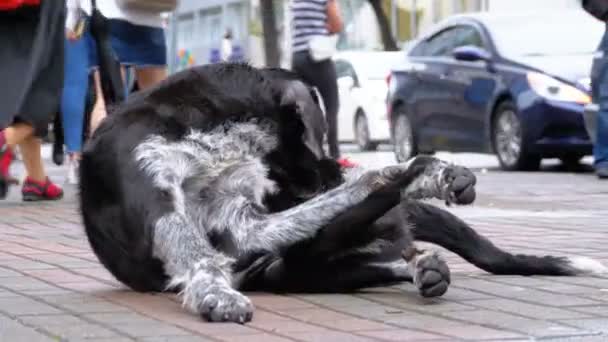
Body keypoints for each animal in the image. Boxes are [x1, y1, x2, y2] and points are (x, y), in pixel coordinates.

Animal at [78, 62, 604, 324]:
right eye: (319, 134)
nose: (335, 167)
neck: (207, 126)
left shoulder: (247, 215)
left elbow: (360, 190)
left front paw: (424, 172)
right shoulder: (188, 210)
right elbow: (201, 257)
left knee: (375, 243)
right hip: (291, 271)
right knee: (366, 254)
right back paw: (417, 255)